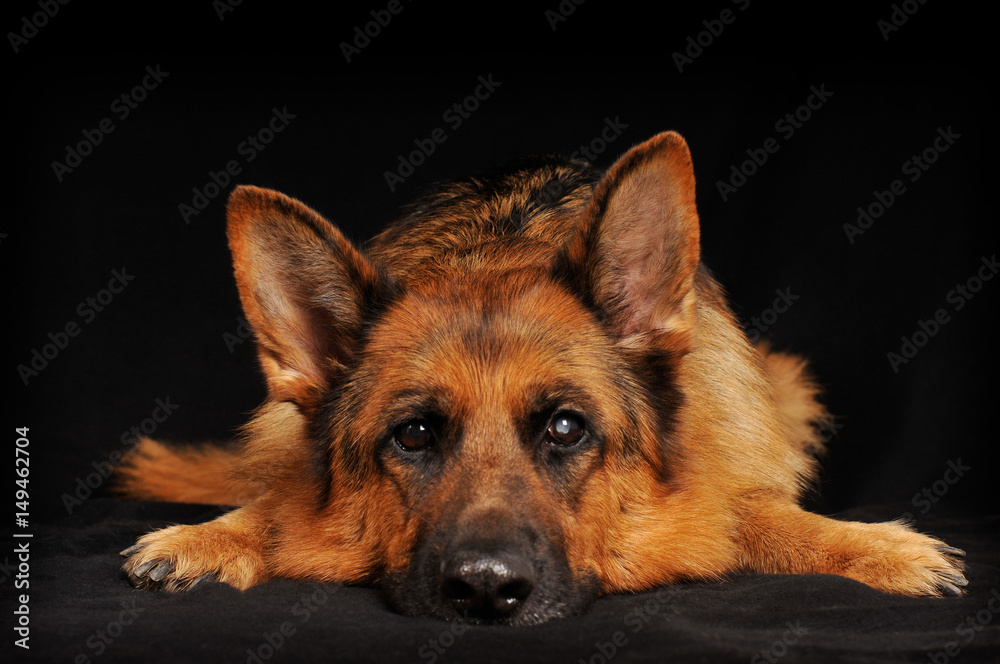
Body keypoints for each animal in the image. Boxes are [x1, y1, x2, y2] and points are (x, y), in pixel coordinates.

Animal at [119, 132, 968, 624]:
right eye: (414, 434)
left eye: (566, 427)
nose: (485, 591)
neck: (495, 255)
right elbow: (277, 508)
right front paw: (214, 535)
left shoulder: (722, 476)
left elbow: (754, 515)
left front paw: (871, 548)